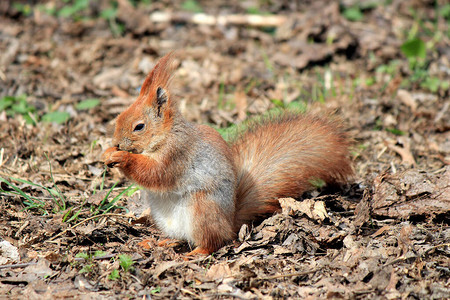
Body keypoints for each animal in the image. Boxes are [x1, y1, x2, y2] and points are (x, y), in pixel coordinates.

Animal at [103, 52, 354, 255]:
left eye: (139, 126)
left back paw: (195, 253)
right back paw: (160, 242)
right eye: (119, 116)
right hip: (165, 217)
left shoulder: (177, 154)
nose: (116, 142)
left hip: (203, 210)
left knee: (213, 242)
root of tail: (230, 224)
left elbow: (155, 173)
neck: (166, 134)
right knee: (181, 238)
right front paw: (107, 152)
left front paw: (122, 157)